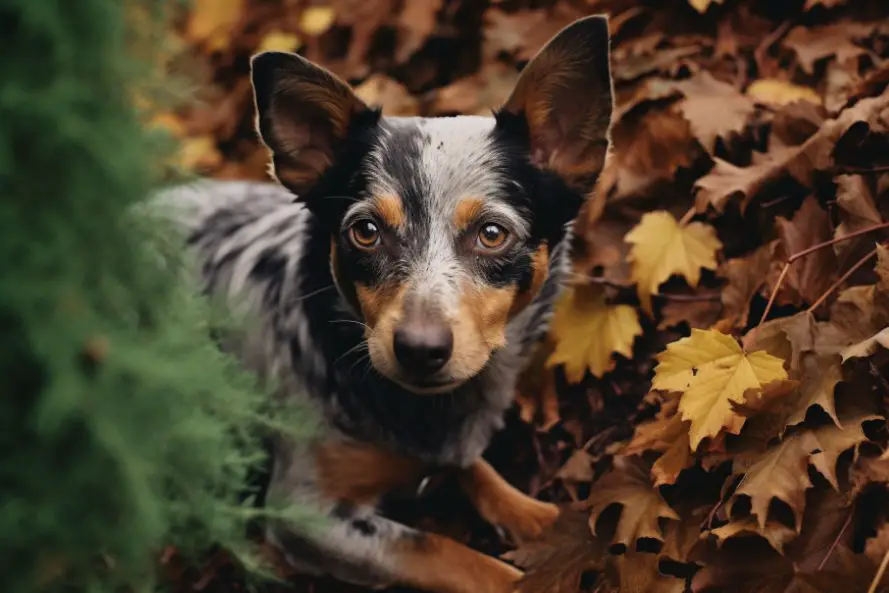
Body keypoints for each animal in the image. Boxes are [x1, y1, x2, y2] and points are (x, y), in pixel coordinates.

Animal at [154, 13, 612, 592]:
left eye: (491, 234)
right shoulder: (305, 514)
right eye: (366, 231)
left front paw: (544, 520)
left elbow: (479, 471)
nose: (419, 348)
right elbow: (445, 551)